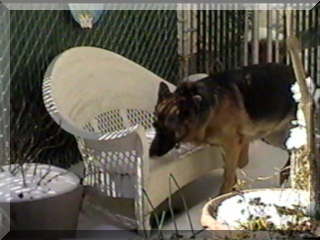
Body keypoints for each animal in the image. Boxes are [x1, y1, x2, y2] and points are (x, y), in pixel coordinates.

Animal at [149, 62, 296, 194]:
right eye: (155, 126)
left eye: (169, 129)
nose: (151, 154)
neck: (207, 106)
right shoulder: (226, 147)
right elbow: (233, 170)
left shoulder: (232, 144)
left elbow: (228, 176)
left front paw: (223, 195)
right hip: (274, 136)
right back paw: (285, 173)